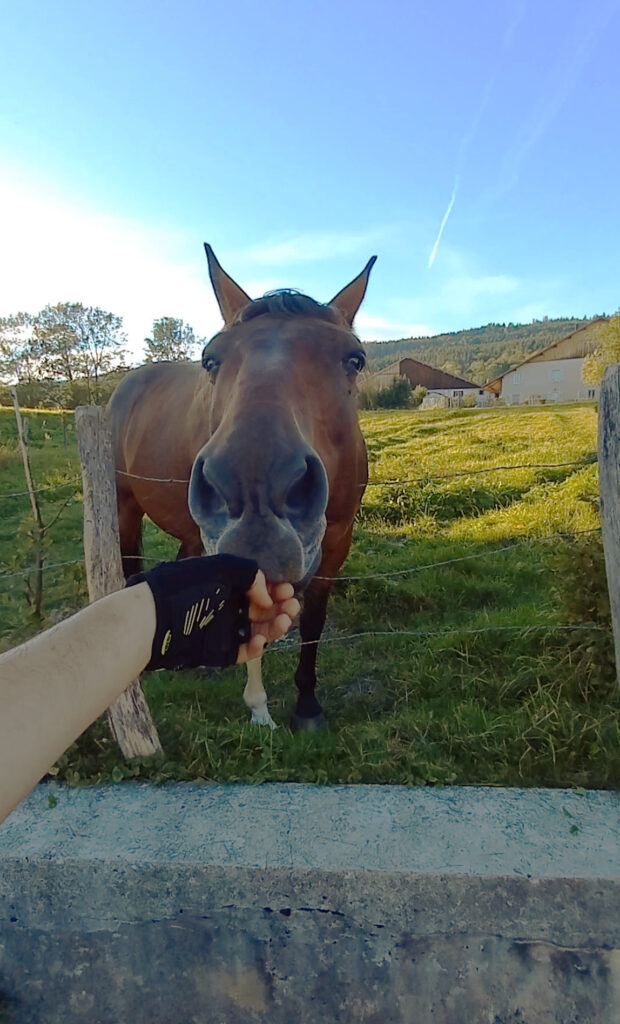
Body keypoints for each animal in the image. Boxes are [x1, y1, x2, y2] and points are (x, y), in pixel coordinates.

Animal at [107, 244, 375, 731]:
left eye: (354, 359)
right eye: (211, 359)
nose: (255, 491)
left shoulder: (336, 543)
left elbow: (313, 622)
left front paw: (307, 704)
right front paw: (259, 707)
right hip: (125, 506)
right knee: (130, 567)